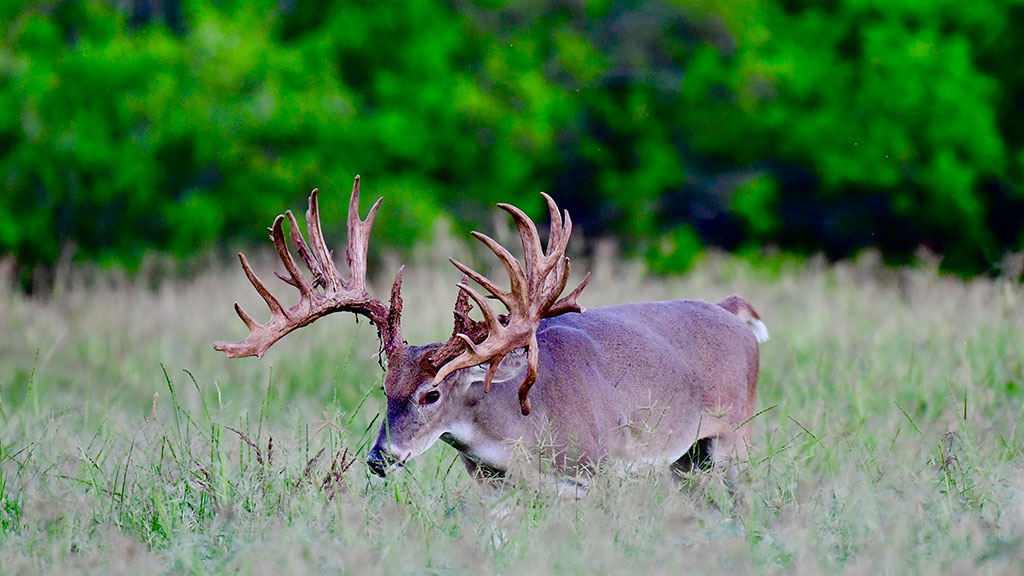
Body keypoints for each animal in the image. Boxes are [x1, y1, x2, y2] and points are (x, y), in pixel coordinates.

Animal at [211, 176, 765, 494]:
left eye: (431, 394)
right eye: (384, 389)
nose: (379, 459)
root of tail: (730, 311)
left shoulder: (604, 469)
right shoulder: (494, 490)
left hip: (734, 436)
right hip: (687, 459)